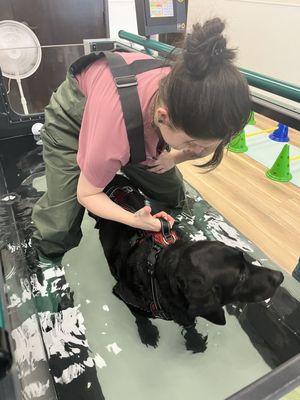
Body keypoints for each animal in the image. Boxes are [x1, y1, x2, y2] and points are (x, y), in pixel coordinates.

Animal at [94, 175, 284, 354]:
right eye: (241, 276)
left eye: (244, 258)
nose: (280, 276)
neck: (155, 275)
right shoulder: (122, 293)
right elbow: (140, 317)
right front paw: (148, 333)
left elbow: (189, 324)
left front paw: (194, 340)